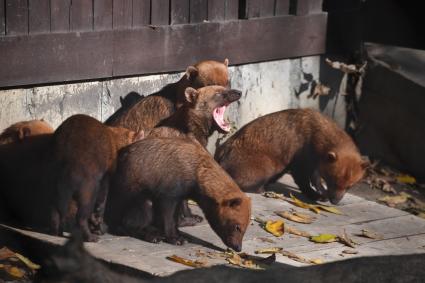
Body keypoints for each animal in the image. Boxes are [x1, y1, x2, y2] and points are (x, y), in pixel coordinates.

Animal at [50, 114, 143, 243]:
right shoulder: (105, 175)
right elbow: (102, 200)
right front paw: (98, 224)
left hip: (55, 180)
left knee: (55, 207)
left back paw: (56, 230)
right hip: (87, 184)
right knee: (82, 213)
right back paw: (89, 236)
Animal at [106, 139, 250, 252]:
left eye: (245, 227)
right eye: (238, 227)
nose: (238, 248)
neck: (196, 173)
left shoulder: (180, 196)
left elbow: (175, 218)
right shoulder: (168, 194)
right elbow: (169, 219)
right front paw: (174, 238)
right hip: (135, 201)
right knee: (126, 223)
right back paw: (151, 235)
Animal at [214, 108, 366, 204]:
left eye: (350, 186)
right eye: (333, 181)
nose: (335, 201)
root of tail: (221, 153)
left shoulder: (317, 160)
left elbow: (315, 177)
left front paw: (321, 191)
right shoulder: (301, 158)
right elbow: (303, 179)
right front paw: (315, 195)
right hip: (266, 163)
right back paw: (260, 187)